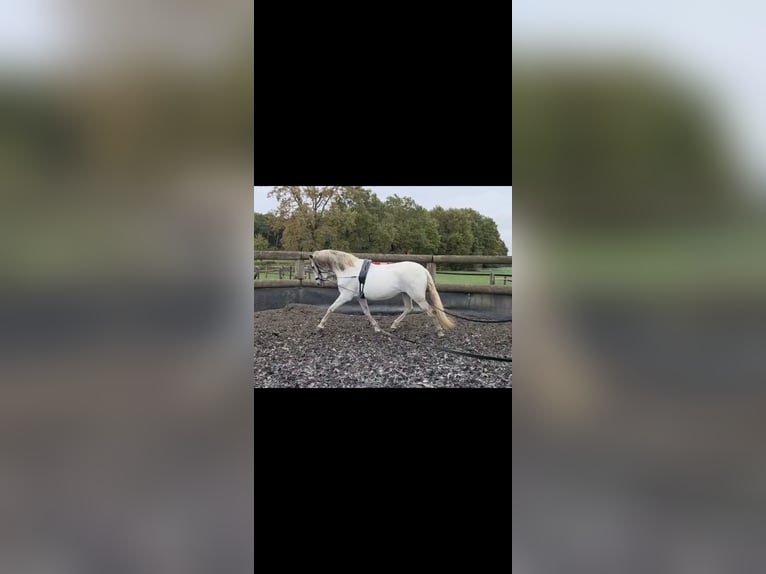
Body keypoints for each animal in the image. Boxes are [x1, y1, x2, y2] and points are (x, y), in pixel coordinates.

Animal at [309, 249, 456, 337]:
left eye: (312, 266)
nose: (318, 282)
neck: (349, 270)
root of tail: (423, 270)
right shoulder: (360, 298)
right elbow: (367, 312)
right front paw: (377, 328)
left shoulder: (345, 296)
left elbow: (330, 309)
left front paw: (320, 326)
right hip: (406, 294)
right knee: (409, 308)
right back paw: (394, 326)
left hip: (417, 297)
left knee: (431, 311)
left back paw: (440, 332)